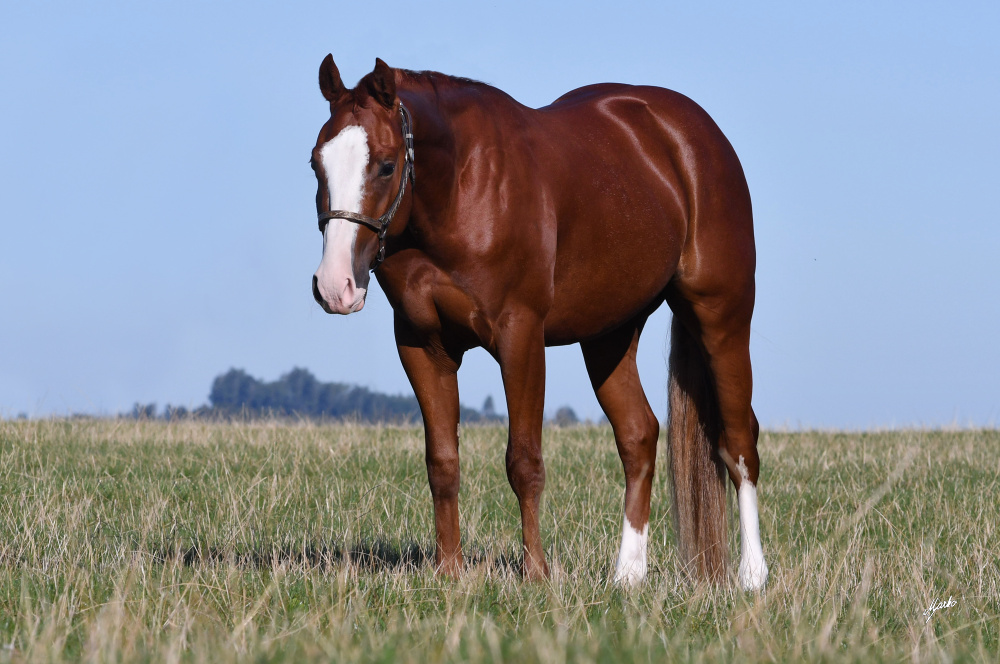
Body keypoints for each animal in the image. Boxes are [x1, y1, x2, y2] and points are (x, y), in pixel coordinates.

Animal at [309, 55, 768, 590]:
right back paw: (627, 575)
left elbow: (524, 461)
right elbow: (442, 461)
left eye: (385, 165)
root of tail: (693, 135)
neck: (459, 190)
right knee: (639, 437)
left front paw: (536, 574)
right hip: (609, 336)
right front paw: (449, 572)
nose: (335, 285)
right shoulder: (422, 345)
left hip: (722, 318)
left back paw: (753, 574)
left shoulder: (521, 338)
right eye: (316, 163)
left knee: (738, 442)